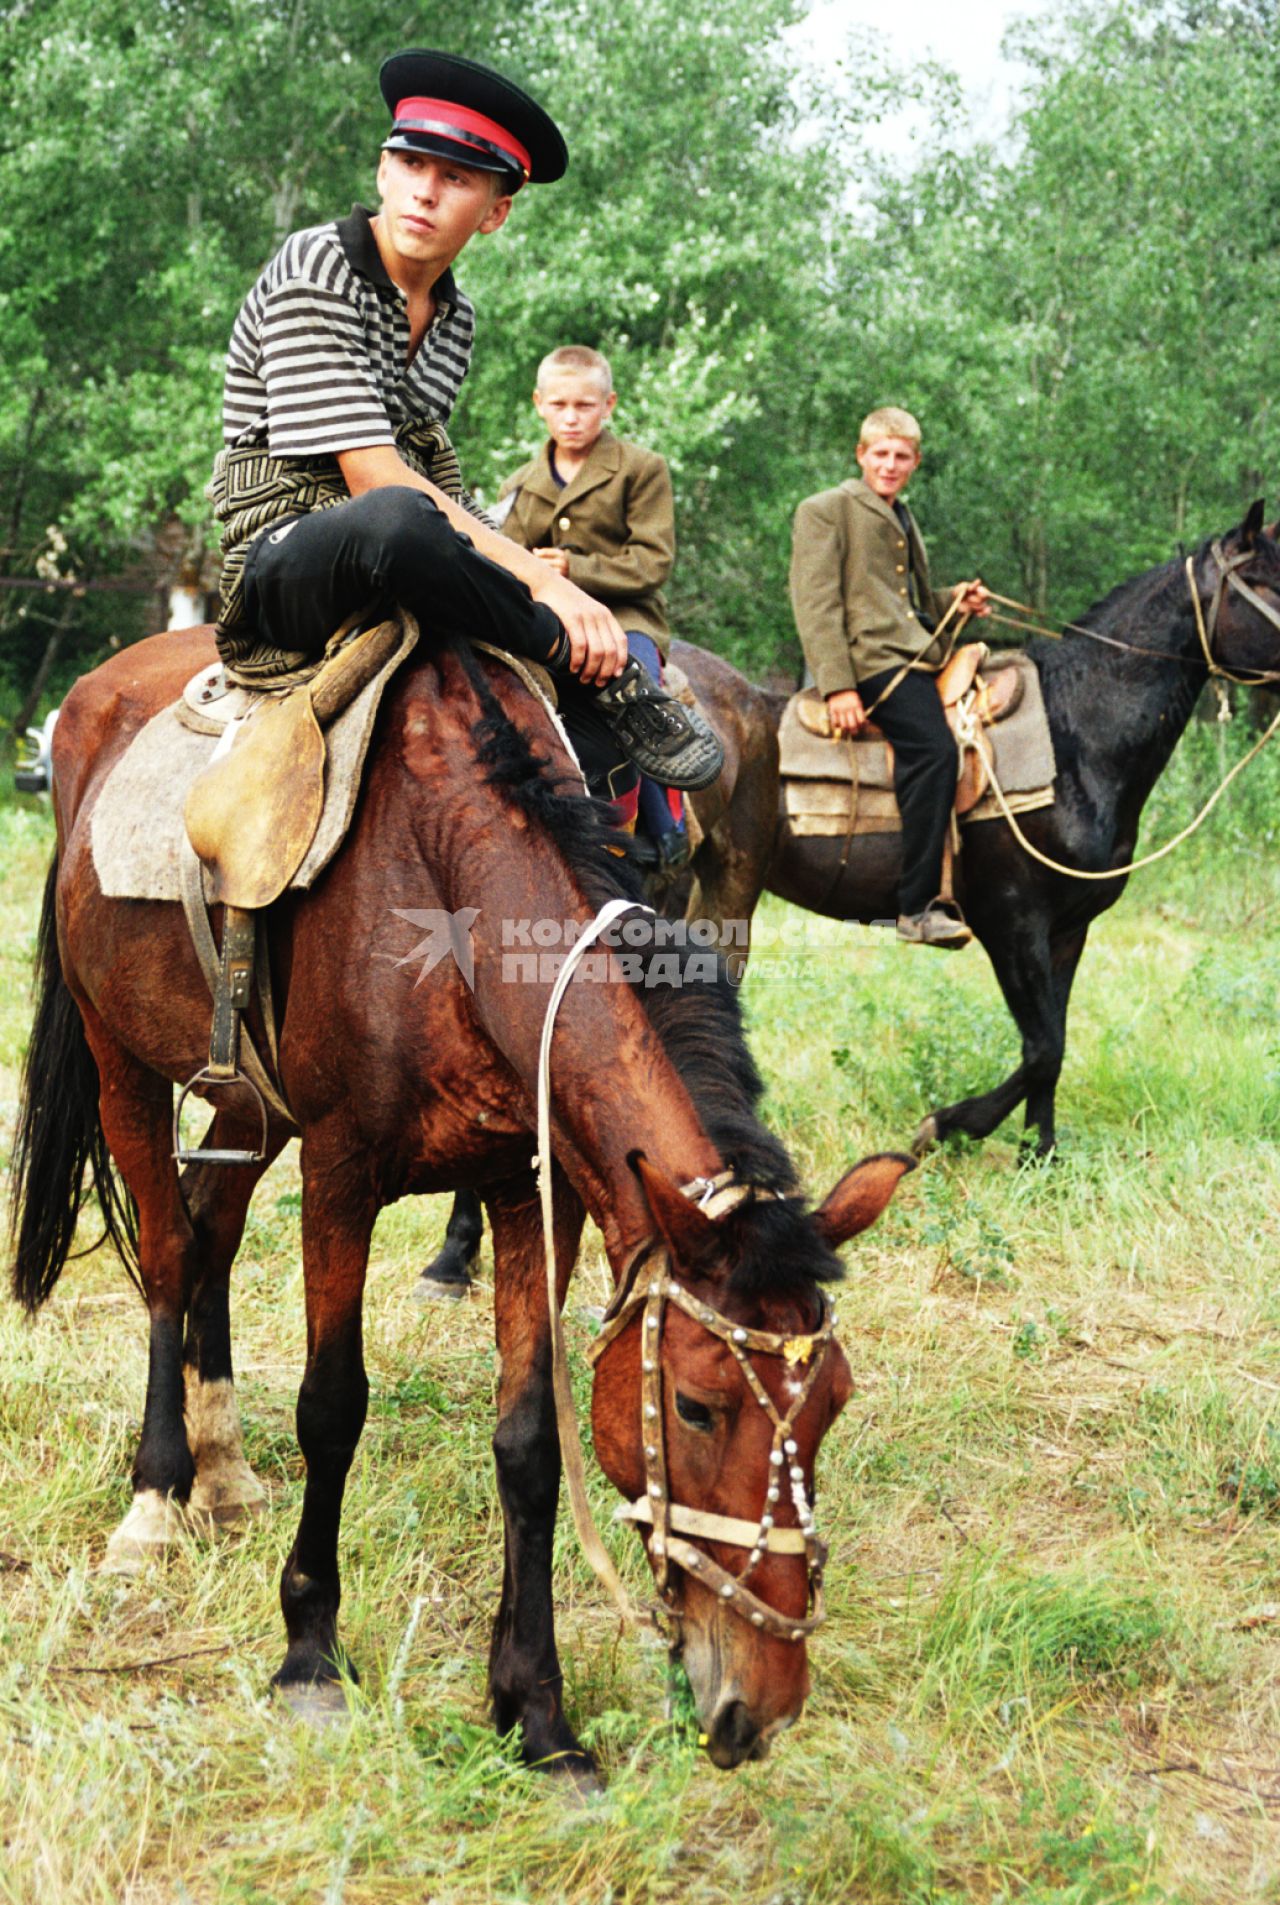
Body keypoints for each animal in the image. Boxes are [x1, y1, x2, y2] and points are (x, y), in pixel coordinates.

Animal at [12, 624, 910, 1767]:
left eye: (833, 1402)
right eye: (695, 1407)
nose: (764, 1702)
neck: (452, 889)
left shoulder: (530, 1188)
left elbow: (528, 1441)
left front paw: (536, 1710)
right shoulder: (339, 1172)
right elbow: (332, 1405)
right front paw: (310, 1651)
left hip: (251, 1100)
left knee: (209, 1225)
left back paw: (222, 1470)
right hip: (117, 1053)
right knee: (171, 1254)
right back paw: (159, 1497)